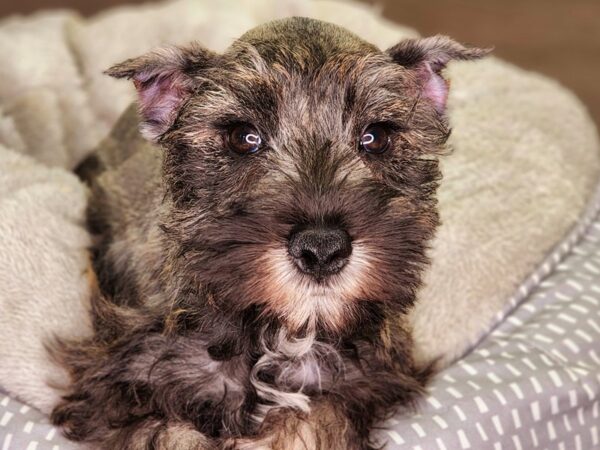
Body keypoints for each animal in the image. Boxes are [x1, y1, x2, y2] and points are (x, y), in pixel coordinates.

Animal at [49, 15, 486, 448]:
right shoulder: (129, 377)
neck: (287, 333)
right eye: (243, 137)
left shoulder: (355, 382)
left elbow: (309, 423)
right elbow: (171, 433)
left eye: (376, 136)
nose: (322, 250)